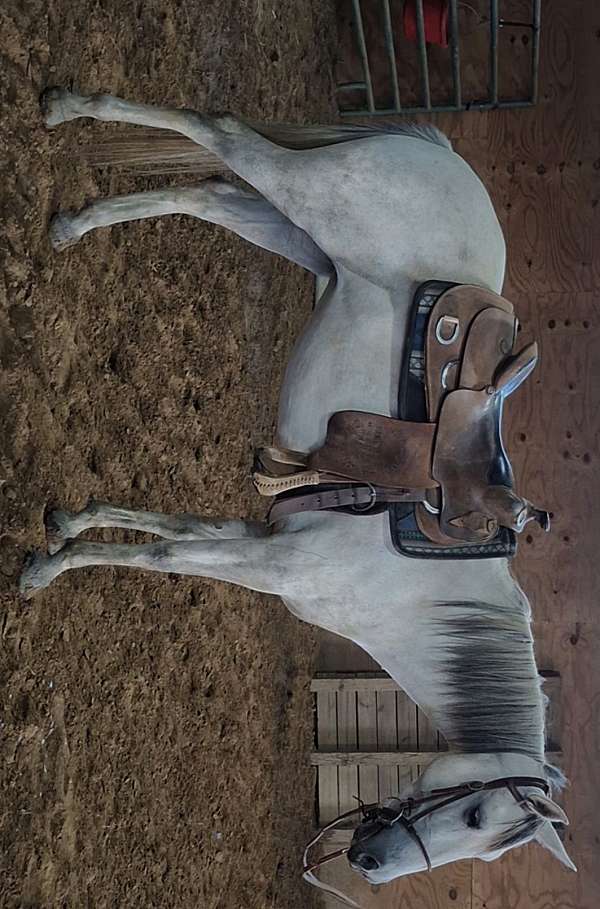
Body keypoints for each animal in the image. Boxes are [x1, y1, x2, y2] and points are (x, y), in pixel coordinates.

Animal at [20, 86, 576, 900]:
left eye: (483, 851)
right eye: (476, 817)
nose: (370, 862)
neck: (414, 592)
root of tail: (442, 156)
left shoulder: (268, 540)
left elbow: (169, 529)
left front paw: (69, 523)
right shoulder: (275, 563)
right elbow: (166, 559)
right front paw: (46, 568)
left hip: (295, 231)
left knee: (207, 192)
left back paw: (73, 221)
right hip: (310, 193)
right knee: (220, 136)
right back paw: (67, 113)